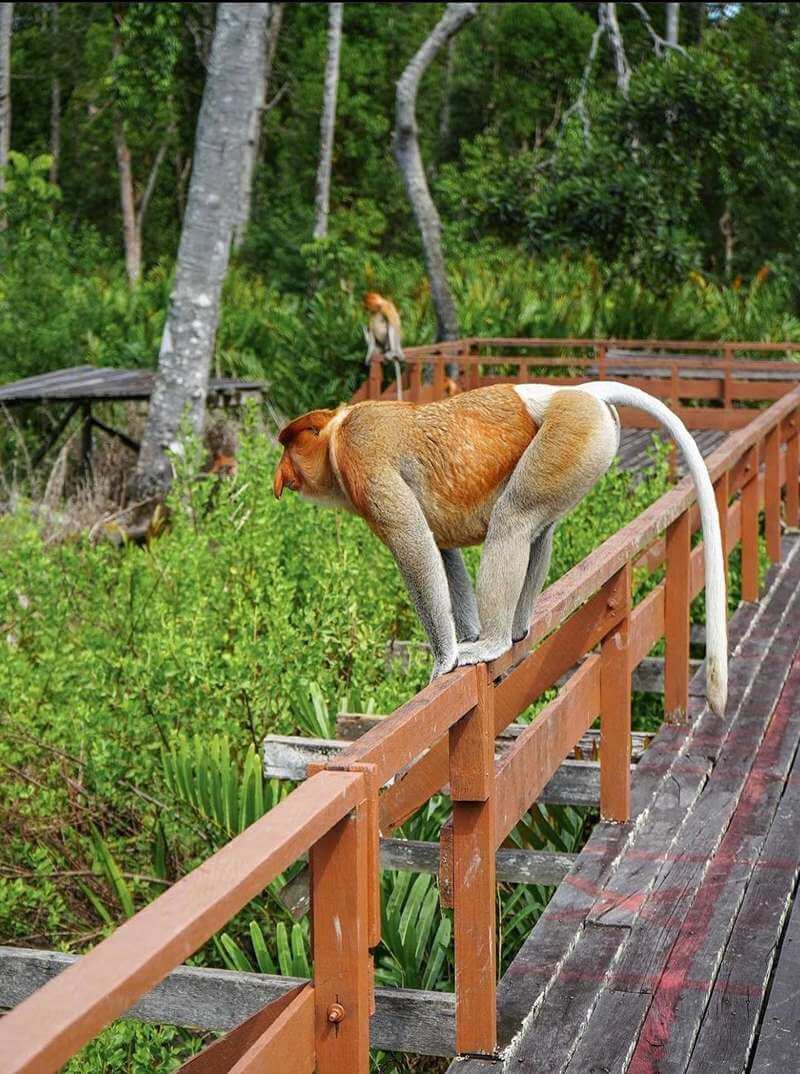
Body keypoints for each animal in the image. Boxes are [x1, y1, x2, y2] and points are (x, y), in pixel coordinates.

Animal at [271, 382, 725, 717]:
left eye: (288, 445)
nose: (279, 476)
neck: (337, 434)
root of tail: (576, 391)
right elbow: (442, 550)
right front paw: (465, 633)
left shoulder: (363, 457)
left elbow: (414, 543)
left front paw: (445, 660)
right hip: (578, 452)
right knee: (538, 532)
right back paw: (516, 628)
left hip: (570, 433)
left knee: (514, 518)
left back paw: (492, 642)